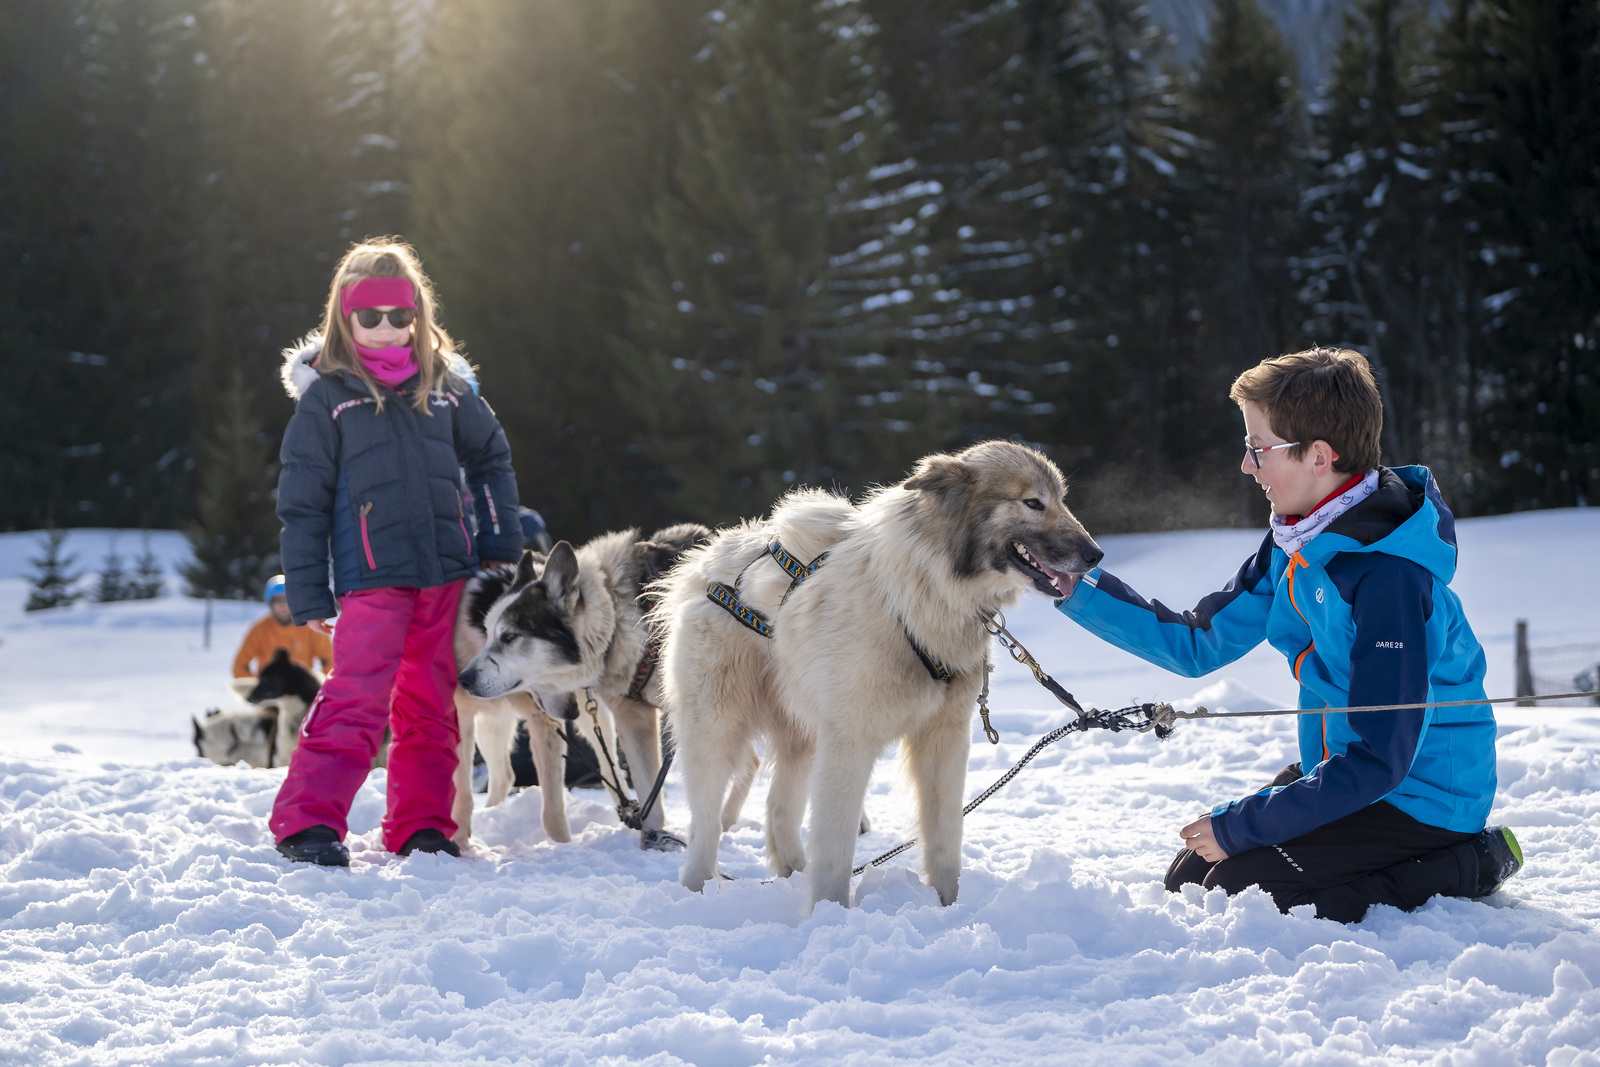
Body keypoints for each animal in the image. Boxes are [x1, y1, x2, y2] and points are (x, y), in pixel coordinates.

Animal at [656, 441, 1107, 908]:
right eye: (1033, 502)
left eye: (1062, 500)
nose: (1096, 555)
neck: (921, 599)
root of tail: (707, 562)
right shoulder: (849, 743)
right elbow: (836, 847)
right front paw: (829, 913)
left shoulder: (944, 741)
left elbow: (944, 837)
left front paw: (949, 906)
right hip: (717, 730)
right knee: (705, 825)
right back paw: (694, 890)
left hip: (802, 737)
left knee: (778, 810)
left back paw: (794, 876)